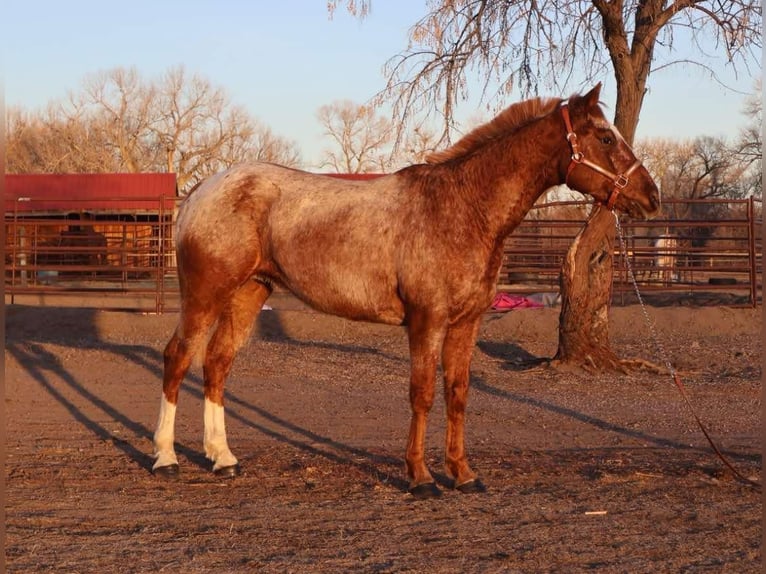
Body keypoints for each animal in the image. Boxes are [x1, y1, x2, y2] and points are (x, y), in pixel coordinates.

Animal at [151, 84, 660, 498]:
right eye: (606, 138)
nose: (651, 195)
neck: (462, 208)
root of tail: (201, 192)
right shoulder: (426, 321)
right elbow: (423, 394)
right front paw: (420, 478)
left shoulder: (466, 324)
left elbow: (457, 393)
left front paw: (463, 474)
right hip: (205, 296)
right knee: (178, 358)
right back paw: (166, 459)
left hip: (248, 294)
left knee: (217, 365)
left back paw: (223, 459)